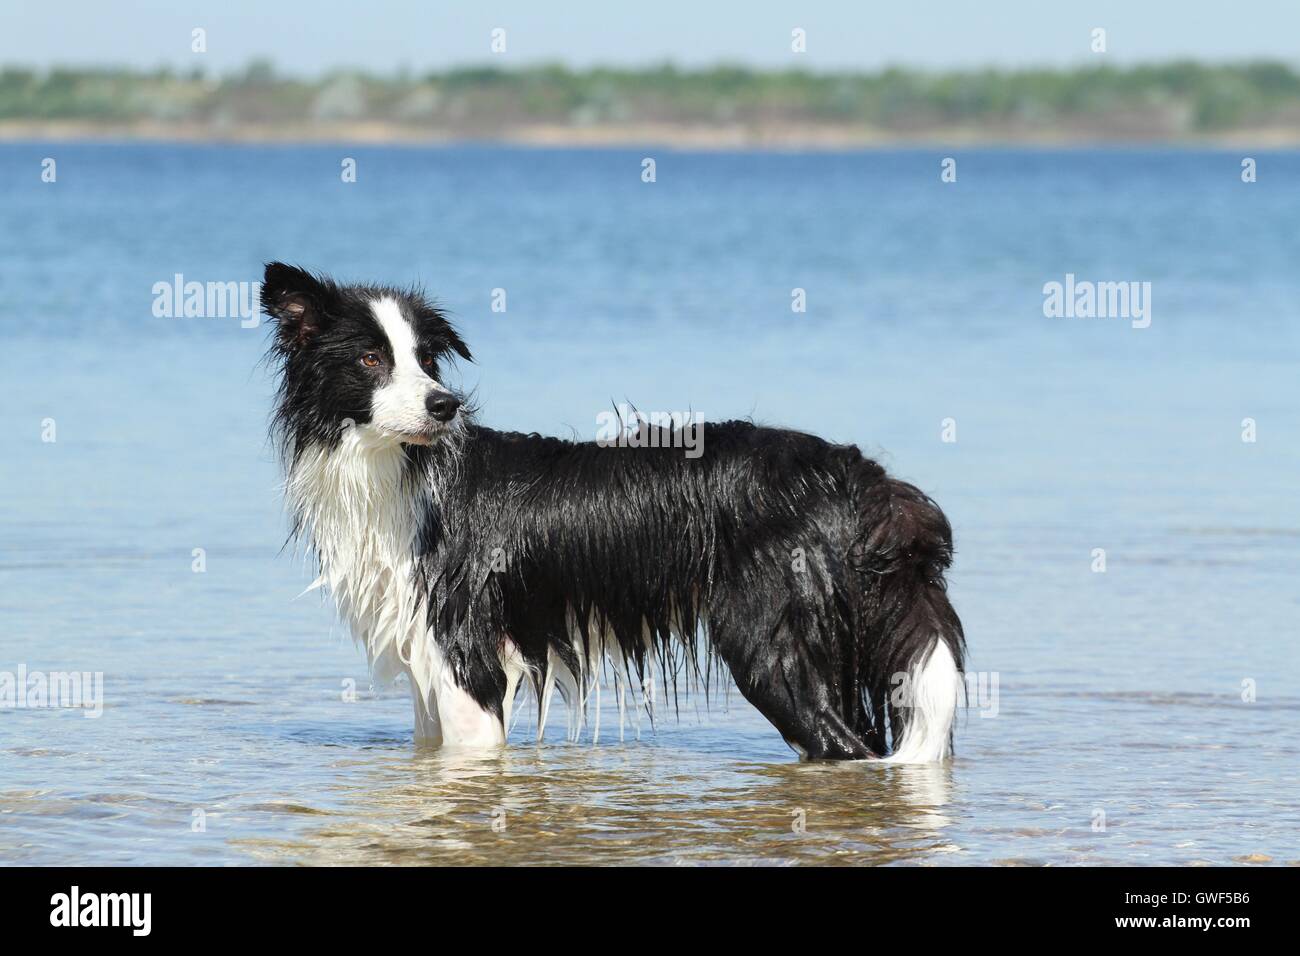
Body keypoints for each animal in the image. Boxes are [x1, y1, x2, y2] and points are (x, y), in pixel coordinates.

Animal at [266, 261, 967, 764]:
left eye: (426, 360)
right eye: (371, 359)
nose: (445, 405)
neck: (399, 470)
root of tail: (860, 474)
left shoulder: (468, 656)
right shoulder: (425, 668)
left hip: (771, 642)